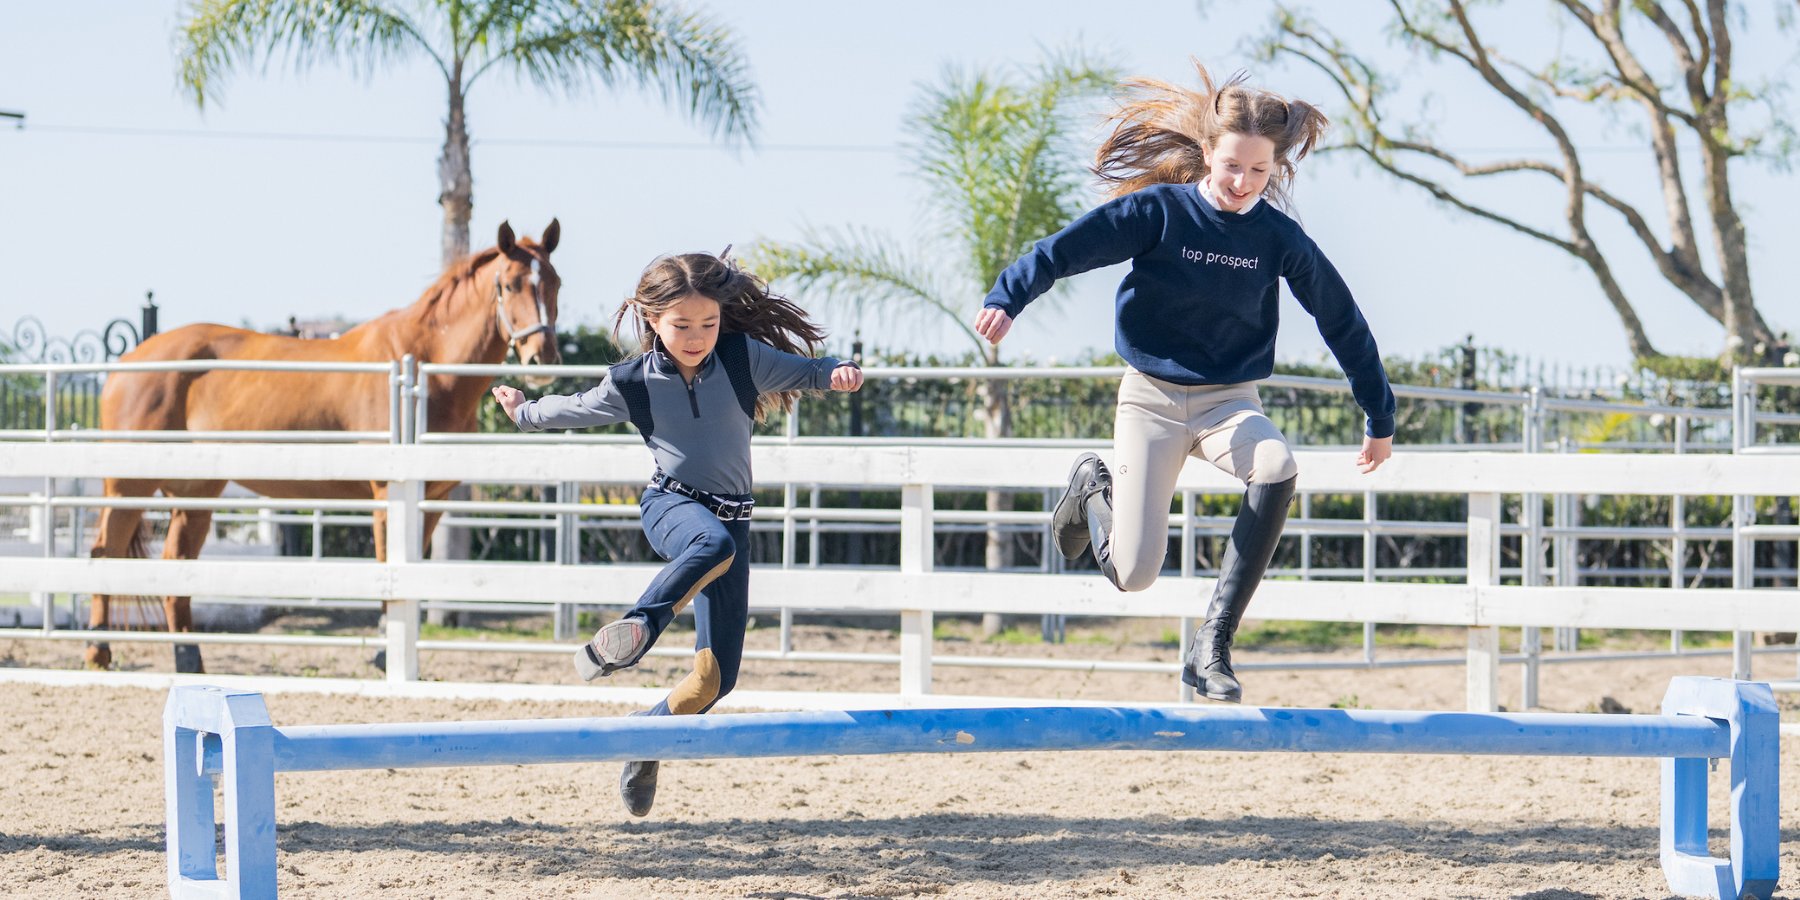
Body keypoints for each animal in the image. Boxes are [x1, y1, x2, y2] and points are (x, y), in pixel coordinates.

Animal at [84, 219, 558, 669]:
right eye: (510, 284)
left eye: (555, 281)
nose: (542, 358)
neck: (424, 371)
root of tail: (126, 362)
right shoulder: (387, 496)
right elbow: (388, 570)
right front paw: (383, 655)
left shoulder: (433, 500)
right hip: (129, 485)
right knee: (105, 551)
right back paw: (98, 652)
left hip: (195, 492)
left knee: (175, 564)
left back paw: (189, 660)